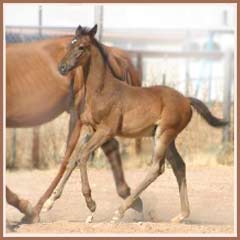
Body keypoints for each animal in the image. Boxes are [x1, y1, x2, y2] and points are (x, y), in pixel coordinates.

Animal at [5, 35, 142, 223]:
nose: (61, 68)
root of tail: (112, 53)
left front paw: (24, 205)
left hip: (79, 117)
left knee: (68, 159)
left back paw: (37, 209)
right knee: (102, 149)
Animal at [51, 24, 227, 223]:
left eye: (81, 47)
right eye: (69, 45)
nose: (62, 67)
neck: (102, 90)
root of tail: (185, 100)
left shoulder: (106, 131)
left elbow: (82, 156)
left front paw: (91, 203)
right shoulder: (91, 129)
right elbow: (74, 158)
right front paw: (51, 200)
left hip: (164, 134)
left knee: (157, 168)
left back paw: (120, 211)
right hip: (165, 137)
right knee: (179, 166)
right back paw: (181, 215)